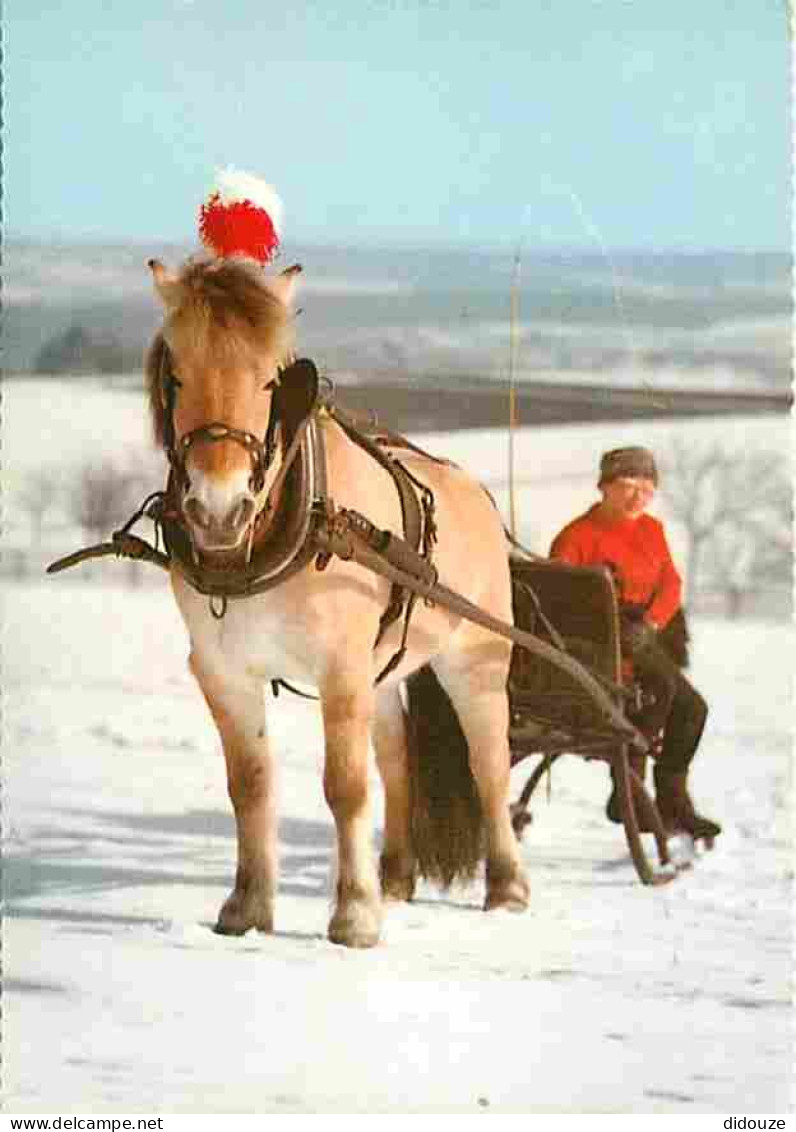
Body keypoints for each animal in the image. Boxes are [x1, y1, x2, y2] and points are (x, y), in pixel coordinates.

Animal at [144, 254, 529, 946]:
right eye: (177, 376)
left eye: (271, 382)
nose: (218, 510)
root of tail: (477, 494)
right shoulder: (222, 671)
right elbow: (250, 785)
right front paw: (247, 907)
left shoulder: (341, 666)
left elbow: (346, 787)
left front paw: (354, 914)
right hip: (383, 673)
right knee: (398, 760)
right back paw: (396, 877)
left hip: (476, 660)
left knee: (490, 766)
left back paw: (507, 887)